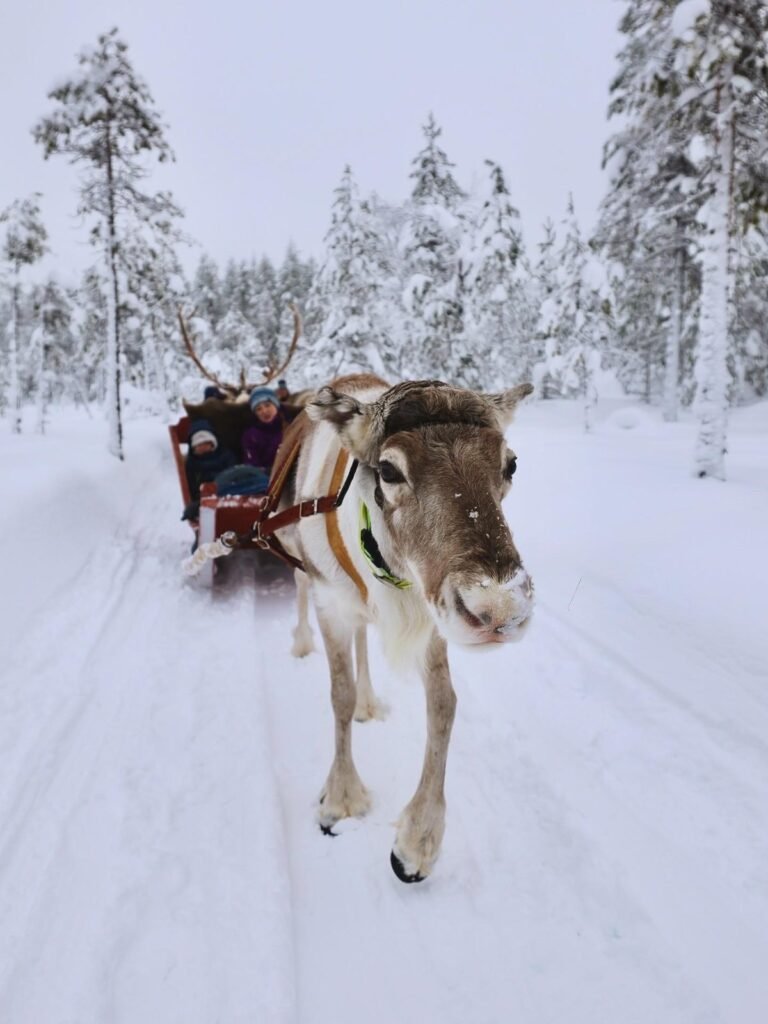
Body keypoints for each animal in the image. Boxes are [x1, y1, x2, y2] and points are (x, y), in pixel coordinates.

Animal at [276, 374, 534, 883]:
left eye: (511, 463)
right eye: (389, 470)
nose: (499, 609)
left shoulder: (434, 614)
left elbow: (444, 705)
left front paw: (418, 840)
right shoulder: (332, 605)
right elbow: (338, 696)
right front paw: (340, 798)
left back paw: (370, 700)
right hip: (303, 568)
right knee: (300, 590)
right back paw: (301, 644)